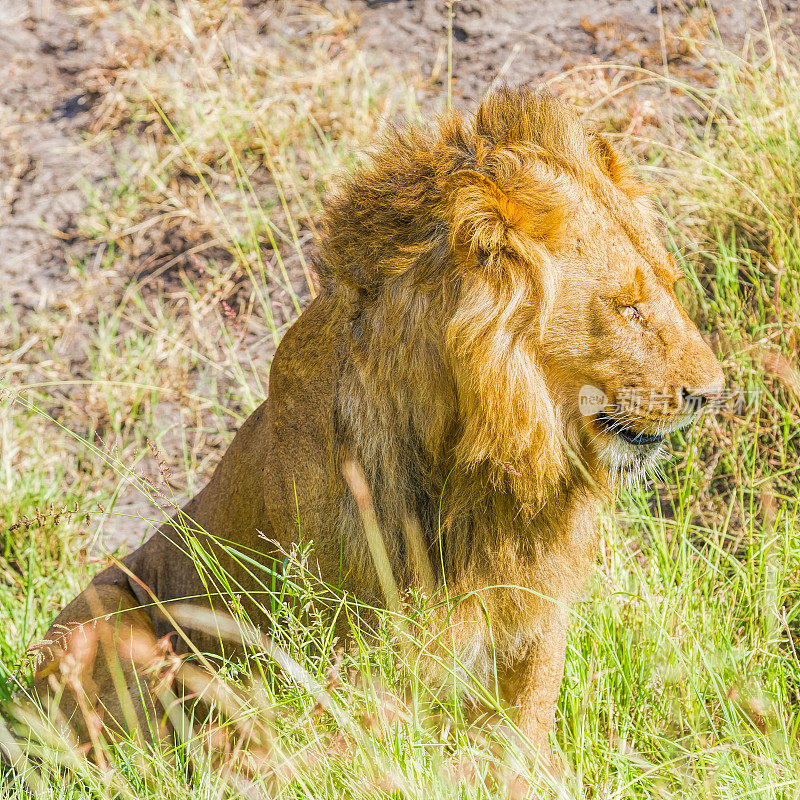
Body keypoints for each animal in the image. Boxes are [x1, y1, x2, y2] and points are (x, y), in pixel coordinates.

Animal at [32, 87, 724, 764]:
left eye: (667, 287)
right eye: (629, 308)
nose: (712, 394)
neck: (489, 467)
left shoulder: (535, 619)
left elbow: (522, 738)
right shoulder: (360, 653)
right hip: (97, 616)